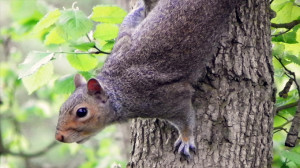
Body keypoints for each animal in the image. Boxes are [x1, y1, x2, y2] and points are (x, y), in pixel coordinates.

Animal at [55, 0, 241, 160]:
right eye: (61, 108)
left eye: (82, 112)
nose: (58, 137)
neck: (118, 87)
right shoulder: (122, 41)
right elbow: (128, 25)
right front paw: (138, 7)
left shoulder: (165, 99)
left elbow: (185, 116)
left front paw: (186, 139)